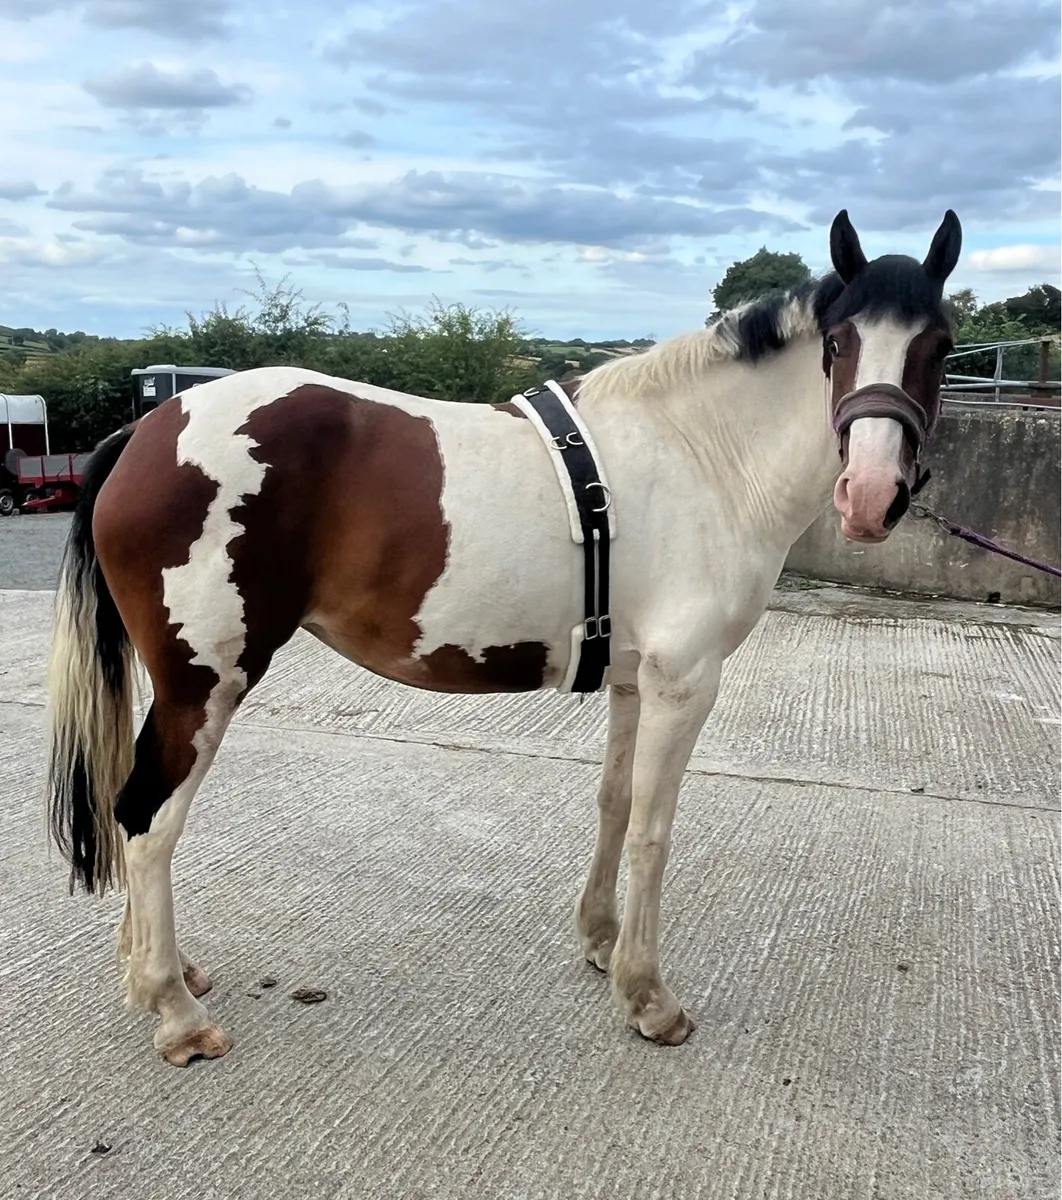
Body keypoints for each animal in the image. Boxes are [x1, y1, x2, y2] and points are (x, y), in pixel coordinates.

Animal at [46, 208, 962, 1066]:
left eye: (941, 347)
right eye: (839, 342)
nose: (870, 495)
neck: (701, 454)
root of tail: (147, 432)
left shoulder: (635, 678)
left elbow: (614, 805)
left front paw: (601, 944)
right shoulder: (685, 681)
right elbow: (654, 831)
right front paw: (649, 998)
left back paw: (162, 974)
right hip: (205, 685)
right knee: (147, 820)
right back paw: (174, 1012)